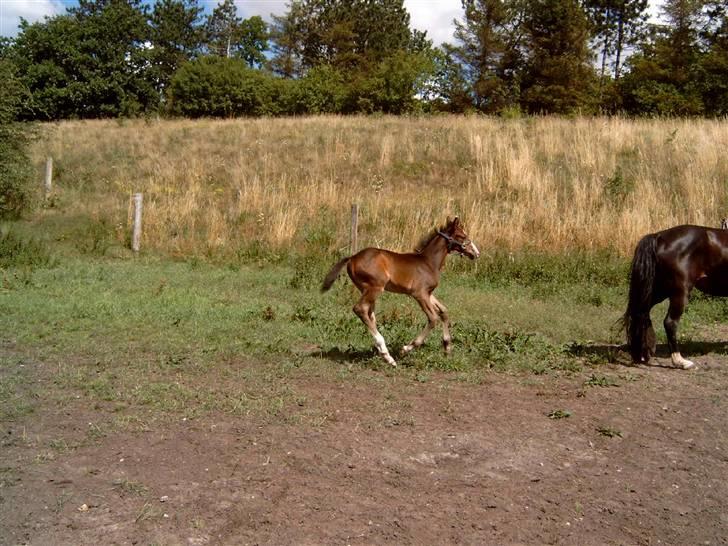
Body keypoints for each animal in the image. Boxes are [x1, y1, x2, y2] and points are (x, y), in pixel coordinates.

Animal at [322, 217, 480, 366]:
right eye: (461, 235)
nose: (476, 253)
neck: (428, 262)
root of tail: (353, 257)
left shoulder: (428, 293)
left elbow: (444, 311)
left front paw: (447, 347)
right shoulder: (419, 294)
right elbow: (433, 318)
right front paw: (406, 349)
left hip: (366, 289)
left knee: (369, 313)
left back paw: (385, 354)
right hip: (375, 287)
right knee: (360, 309)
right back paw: (387, 354)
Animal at [624, 223, 728, 368]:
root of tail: (659, 237)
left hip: (660, 290)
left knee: (641, 312)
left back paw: (643, 353)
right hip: (679, 291)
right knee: (670, 322)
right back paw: (680, 361)